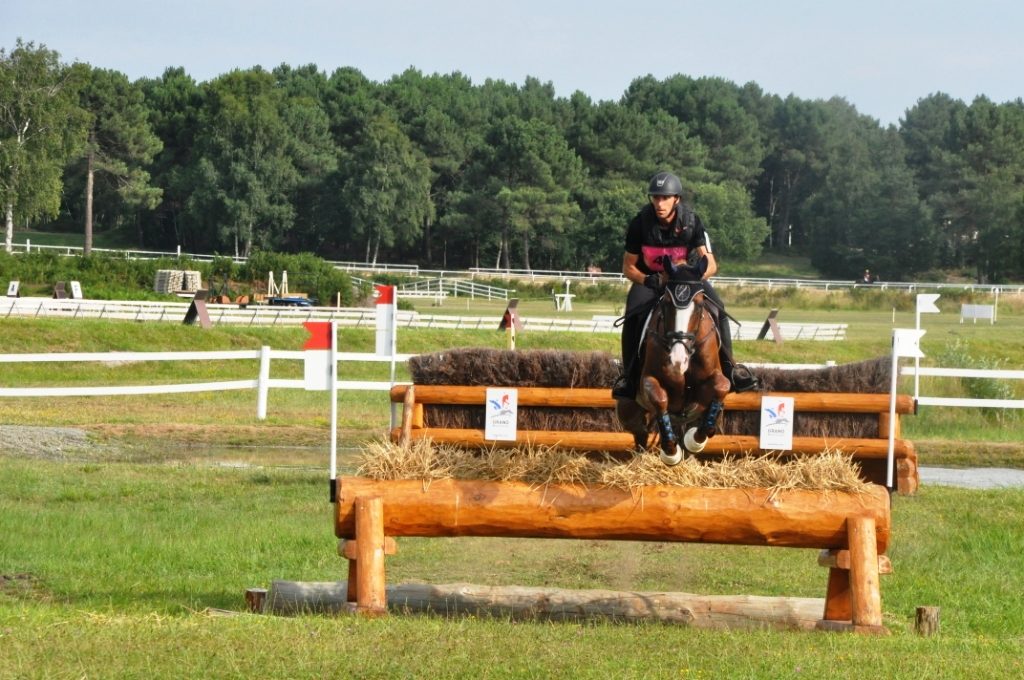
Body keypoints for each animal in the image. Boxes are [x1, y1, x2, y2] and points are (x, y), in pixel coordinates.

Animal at [610, 256, 733, 466]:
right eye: (667, 303)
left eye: (699, 305)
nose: (678, 360)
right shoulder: (648, 381)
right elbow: (660, 399)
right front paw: (670, 453)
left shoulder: (713, 380)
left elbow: (721, 386)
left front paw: (695, 440)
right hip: (629, 411)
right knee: (641, 434)